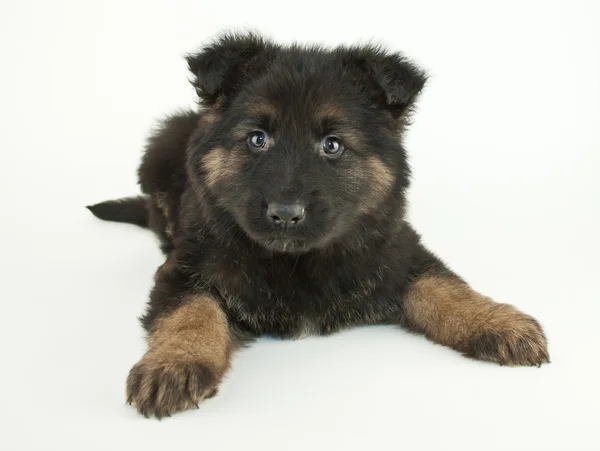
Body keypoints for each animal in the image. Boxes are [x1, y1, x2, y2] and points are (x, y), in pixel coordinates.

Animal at [88, 32, 548, 420]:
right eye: (257, 138)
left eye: (332, 145)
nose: (285, 214)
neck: (298, 260)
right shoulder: (185, 267)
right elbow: (190, 312)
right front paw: (174, 362)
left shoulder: (400, 250)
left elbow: (445, 286)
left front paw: (495, 321)